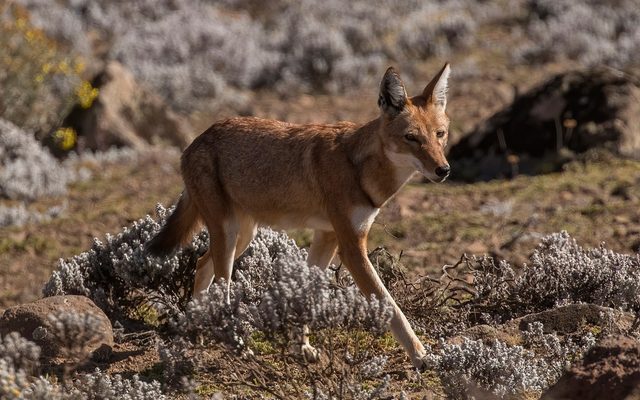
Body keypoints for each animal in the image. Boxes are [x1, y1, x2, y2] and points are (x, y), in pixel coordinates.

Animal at [147, 63, 451, 369]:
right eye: (411, 138)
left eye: (440, 134)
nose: (444, 170)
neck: (359, 168)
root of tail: (196, 140)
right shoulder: (352, 248)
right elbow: (391, 307)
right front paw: (422, 356)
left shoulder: (328, 237)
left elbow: (307, 293)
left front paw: (302, 347)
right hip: (230, 235)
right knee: (222, 289)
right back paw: (238, 346)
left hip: (242, 237)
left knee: (201, 264)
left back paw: (196, 330)